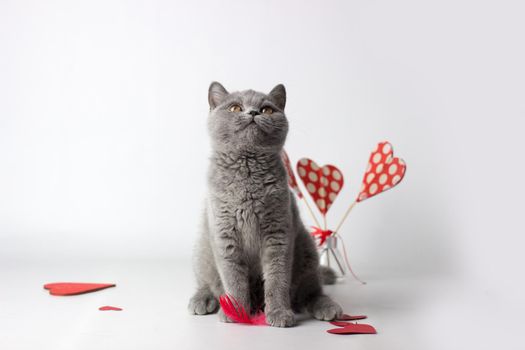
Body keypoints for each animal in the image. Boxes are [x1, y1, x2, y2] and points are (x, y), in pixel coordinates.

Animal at [186, 82, 342, 328]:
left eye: (267, 109)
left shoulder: (278, 233)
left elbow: (277, 278)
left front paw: (278, 313)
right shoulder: (224, 234)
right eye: (235, 108)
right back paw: (202, 300)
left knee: (310, 291)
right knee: (207, 282)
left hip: (306, 248)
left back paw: (328, 307)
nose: (252, 113)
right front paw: (236, 312)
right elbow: (233, 279)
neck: (247, 171)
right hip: (202, 249)